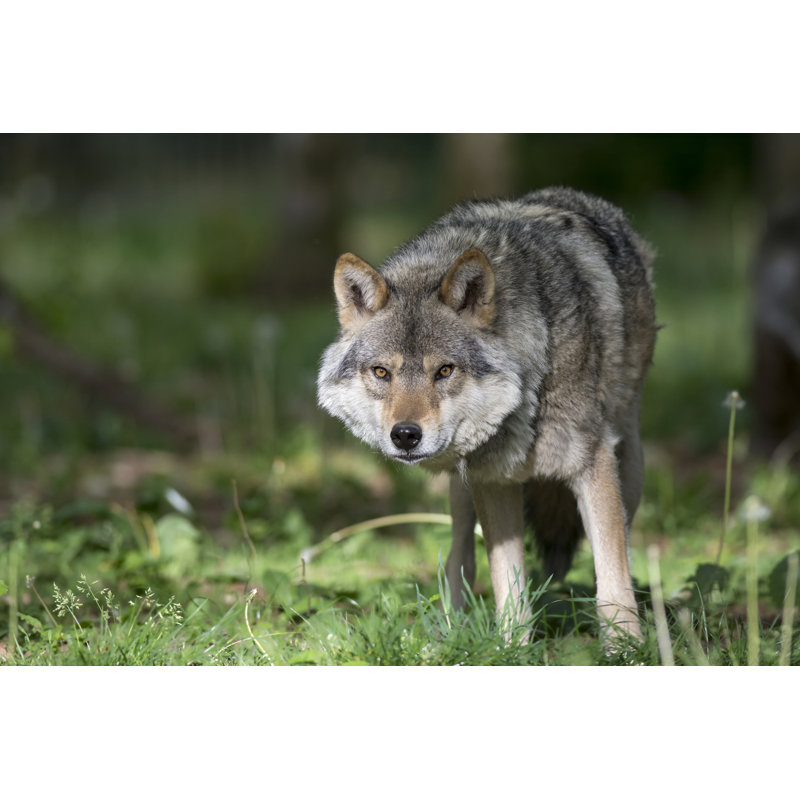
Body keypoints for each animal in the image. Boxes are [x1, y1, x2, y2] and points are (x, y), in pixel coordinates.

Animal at [317, 187, 656, 640]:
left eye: (444, 370)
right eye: (381, 372)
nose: (405, 435)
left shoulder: (592, 467)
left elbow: (612, 583)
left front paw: (625, 649)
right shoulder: (492, 481)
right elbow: (508, 588)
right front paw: (513, 648)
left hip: (629, 470)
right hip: (462, 491)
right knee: (459, 558)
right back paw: (447, 634)